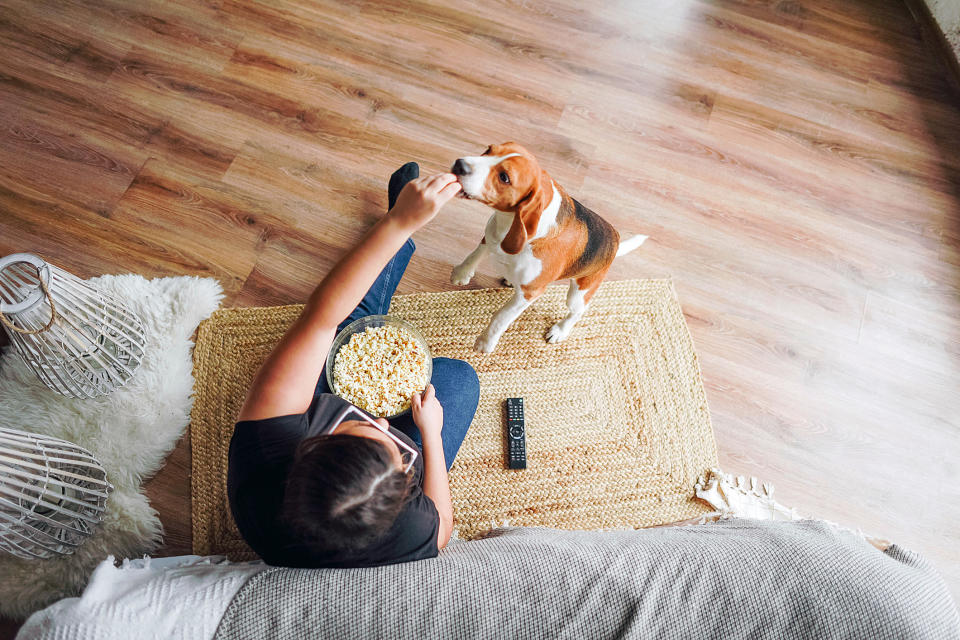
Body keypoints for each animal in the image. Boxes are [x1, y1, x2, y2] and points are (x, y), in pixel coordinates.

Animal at [448, 141, 644, 352]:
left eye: (504, 177)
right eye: (488, 150)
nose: (459, 164)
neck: (508, 222)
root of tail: (615, 240)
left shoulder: (528, 294)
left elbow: (501, 317)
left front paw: (486, 342)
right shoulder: (491, 235)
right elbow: (475, 254)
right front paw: (461, 273)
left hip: (579, 293)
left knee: (577, 312)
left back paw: (560, 330)